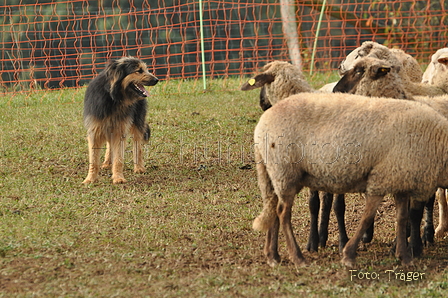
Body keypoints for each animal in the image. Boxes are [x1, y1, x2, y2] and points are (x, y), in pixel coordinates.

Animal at [83, 56, 158, 184]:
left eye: (145, 69)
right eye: (139, 70)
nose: (157, 79)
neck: (113, 97)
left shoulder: (120, 130)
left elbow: (118, 158)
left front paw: (118, 178)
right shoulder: (95, 130)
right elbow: (93, 159)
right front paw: (90, 179)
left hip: (137, 122)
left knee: (137, 146)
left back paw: (139, 167)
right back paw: (107, 163)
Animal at [240, 60, 348, 251]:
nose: (262, 104)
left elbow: (335, 205)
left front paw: (341, 241)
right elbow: (314, 204)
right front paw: (314, 241)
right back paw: (323, 237)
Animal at [254, 93, 448, 268]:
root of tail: (261, 125)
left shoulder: (400, 180)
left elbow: (401, 219)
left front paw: (404, 257)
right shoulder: (380, 180)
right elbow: (367, 218)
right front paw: (348, 255)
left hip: (276, 173)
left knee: (273, 208)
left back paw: (273, 256)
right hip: (285, 171)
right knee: (283, 213)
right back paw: (298, 258)